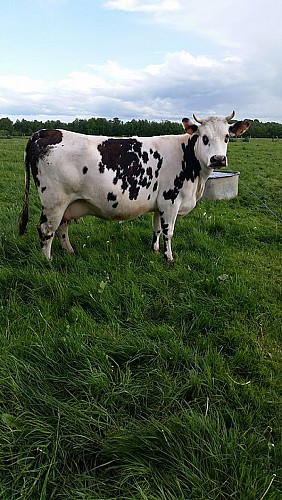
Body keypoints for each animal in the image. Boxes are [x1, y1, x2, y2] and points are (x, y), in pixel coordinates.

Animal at [19, 112, 249, 262]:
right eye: (204, 137)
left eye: (227, 137)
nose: (218, 159)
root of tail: (43, 132)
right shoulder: (171, 201)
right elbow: (169, 232)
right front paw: (169, 257)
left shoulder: (159, 204)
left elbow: (156, 228)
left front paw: (155, 250)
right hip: (54, 201)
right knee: (46, 230)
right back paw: (47, 262)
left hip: (67, 203)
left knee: (61, 228)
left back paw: (70, 252)